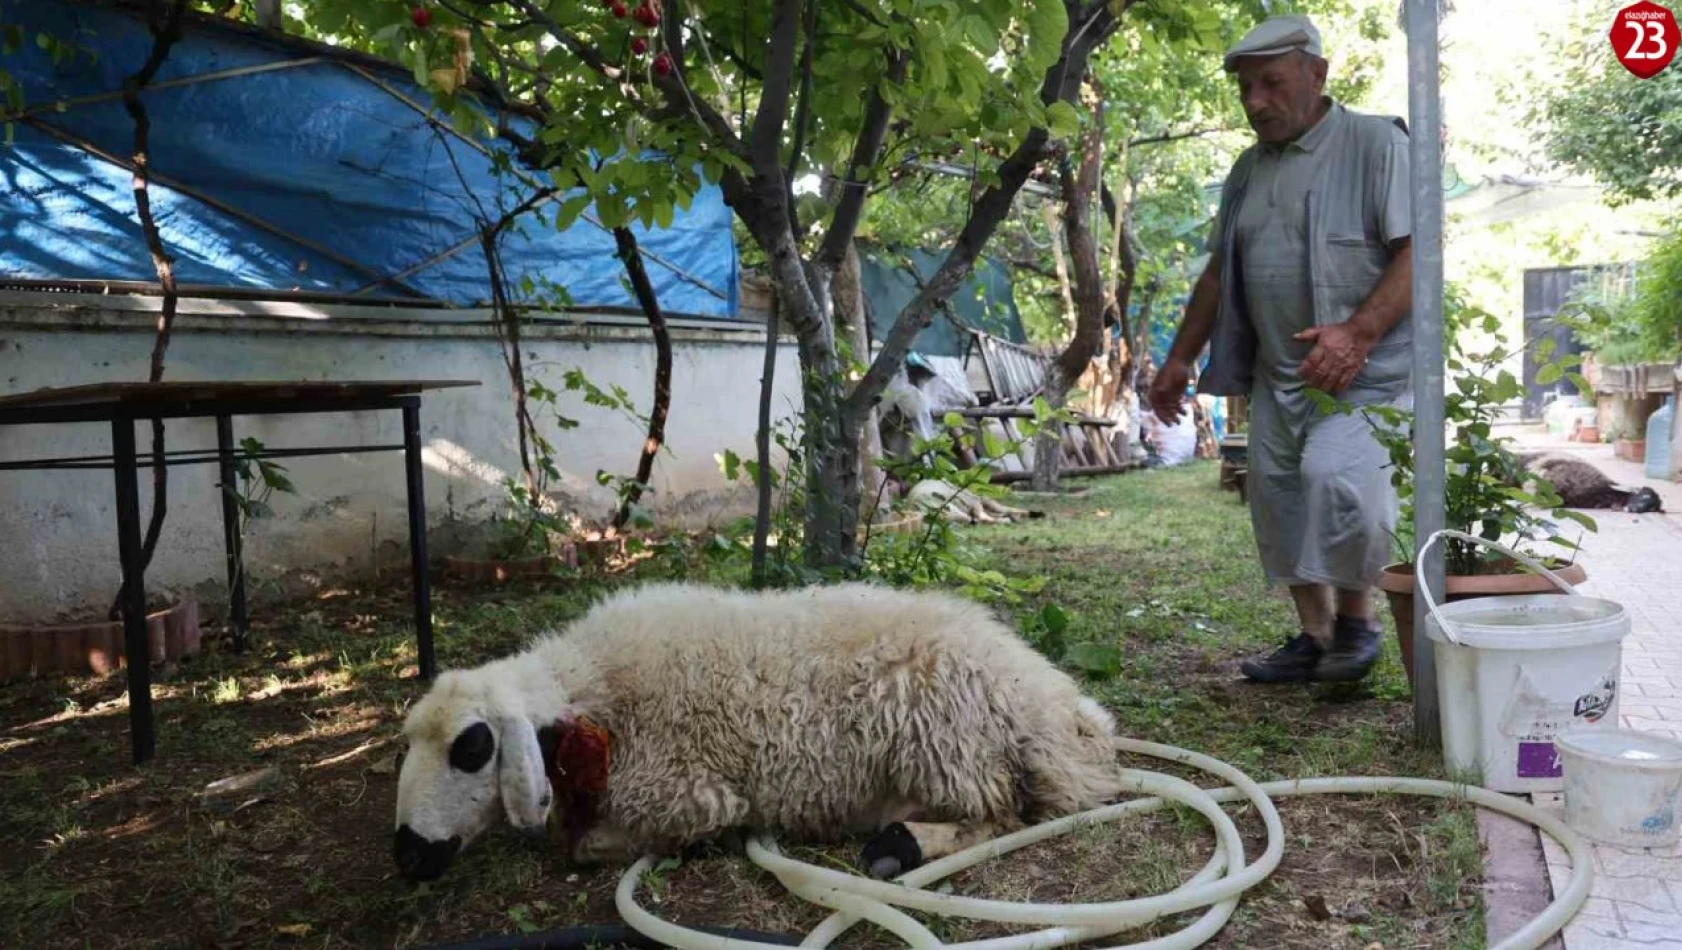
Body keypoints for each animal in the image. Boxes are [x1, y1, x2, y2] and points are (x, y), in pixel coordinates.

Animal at [395, 578, 1130, 881]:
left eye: (472, 747)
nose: (408, 853)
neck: (598, 690)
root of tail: (1065, 713)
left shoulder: (689, 795)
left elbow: (584, 847)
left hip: (945, 742)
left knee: (1002, 814)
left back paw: (900, 847)